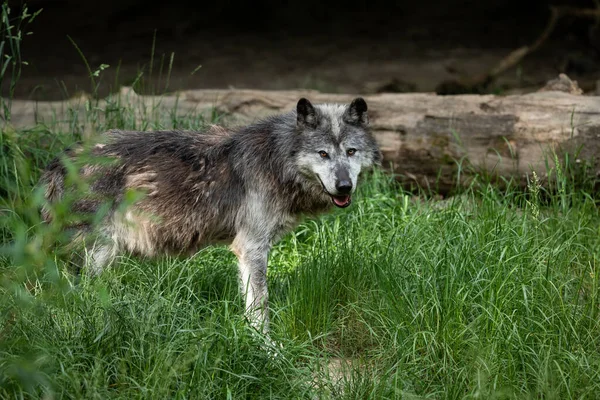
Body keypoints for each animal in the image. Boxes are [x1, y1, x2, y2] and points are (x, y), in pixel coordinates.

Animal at [39, 97, 382, 332]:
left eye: (350, 152)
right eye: (323, 154)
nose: (344, 186)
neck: (277, 160)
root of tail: (58, 160)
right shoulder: (251, 248)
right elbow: (260, 310)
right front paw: (269, 351)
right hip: (99, 254)